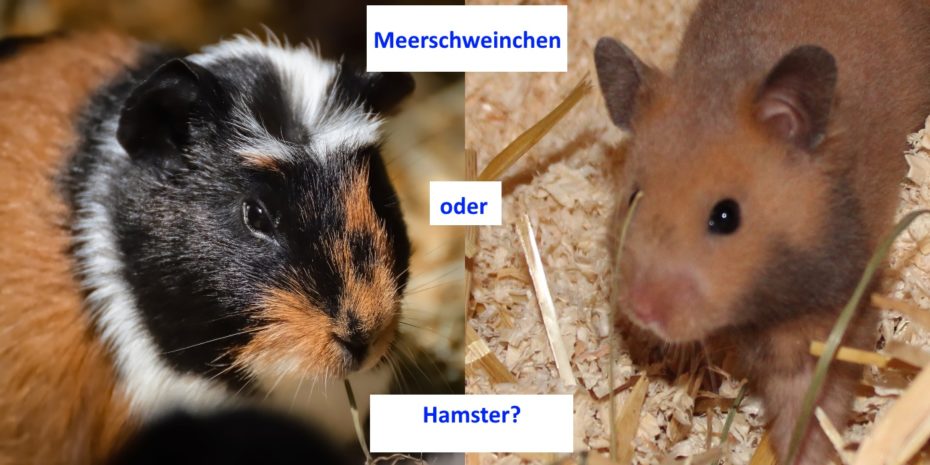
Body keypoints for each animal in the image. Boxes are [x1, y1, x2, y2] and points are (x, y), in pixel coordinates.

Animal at [594, 1, 930, 463]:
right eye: (633, 197)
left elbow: (811, 408)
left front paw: (800, 455)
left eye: (726, 216)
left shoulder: (830, 320)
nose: (644, 309)